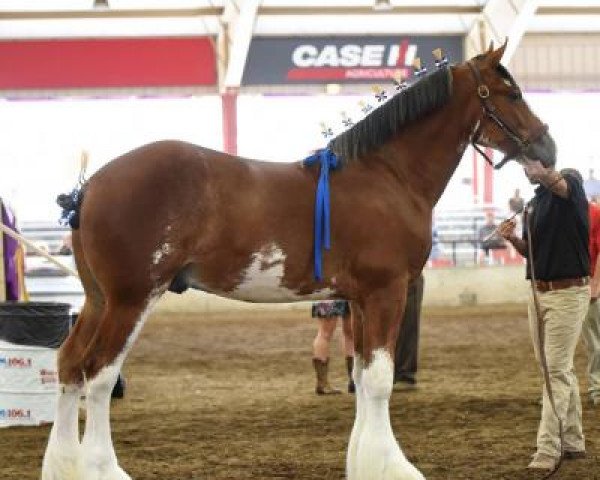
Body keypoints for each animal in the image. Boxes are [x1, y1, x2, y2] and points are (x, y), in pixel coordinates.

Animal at [44, 42, 556, 480]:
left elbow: (360, 376)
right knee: (99, 375)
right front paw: (392, 466)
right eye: (511, 93)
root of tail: (92, 185)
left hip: (97, 299)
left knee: (69, 365)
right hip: (131, 299)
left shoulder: (360, 300)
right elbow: (380, 381)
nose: (546, 147)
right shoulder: (386, 292)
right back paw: (103, 468)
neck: (389, 175)